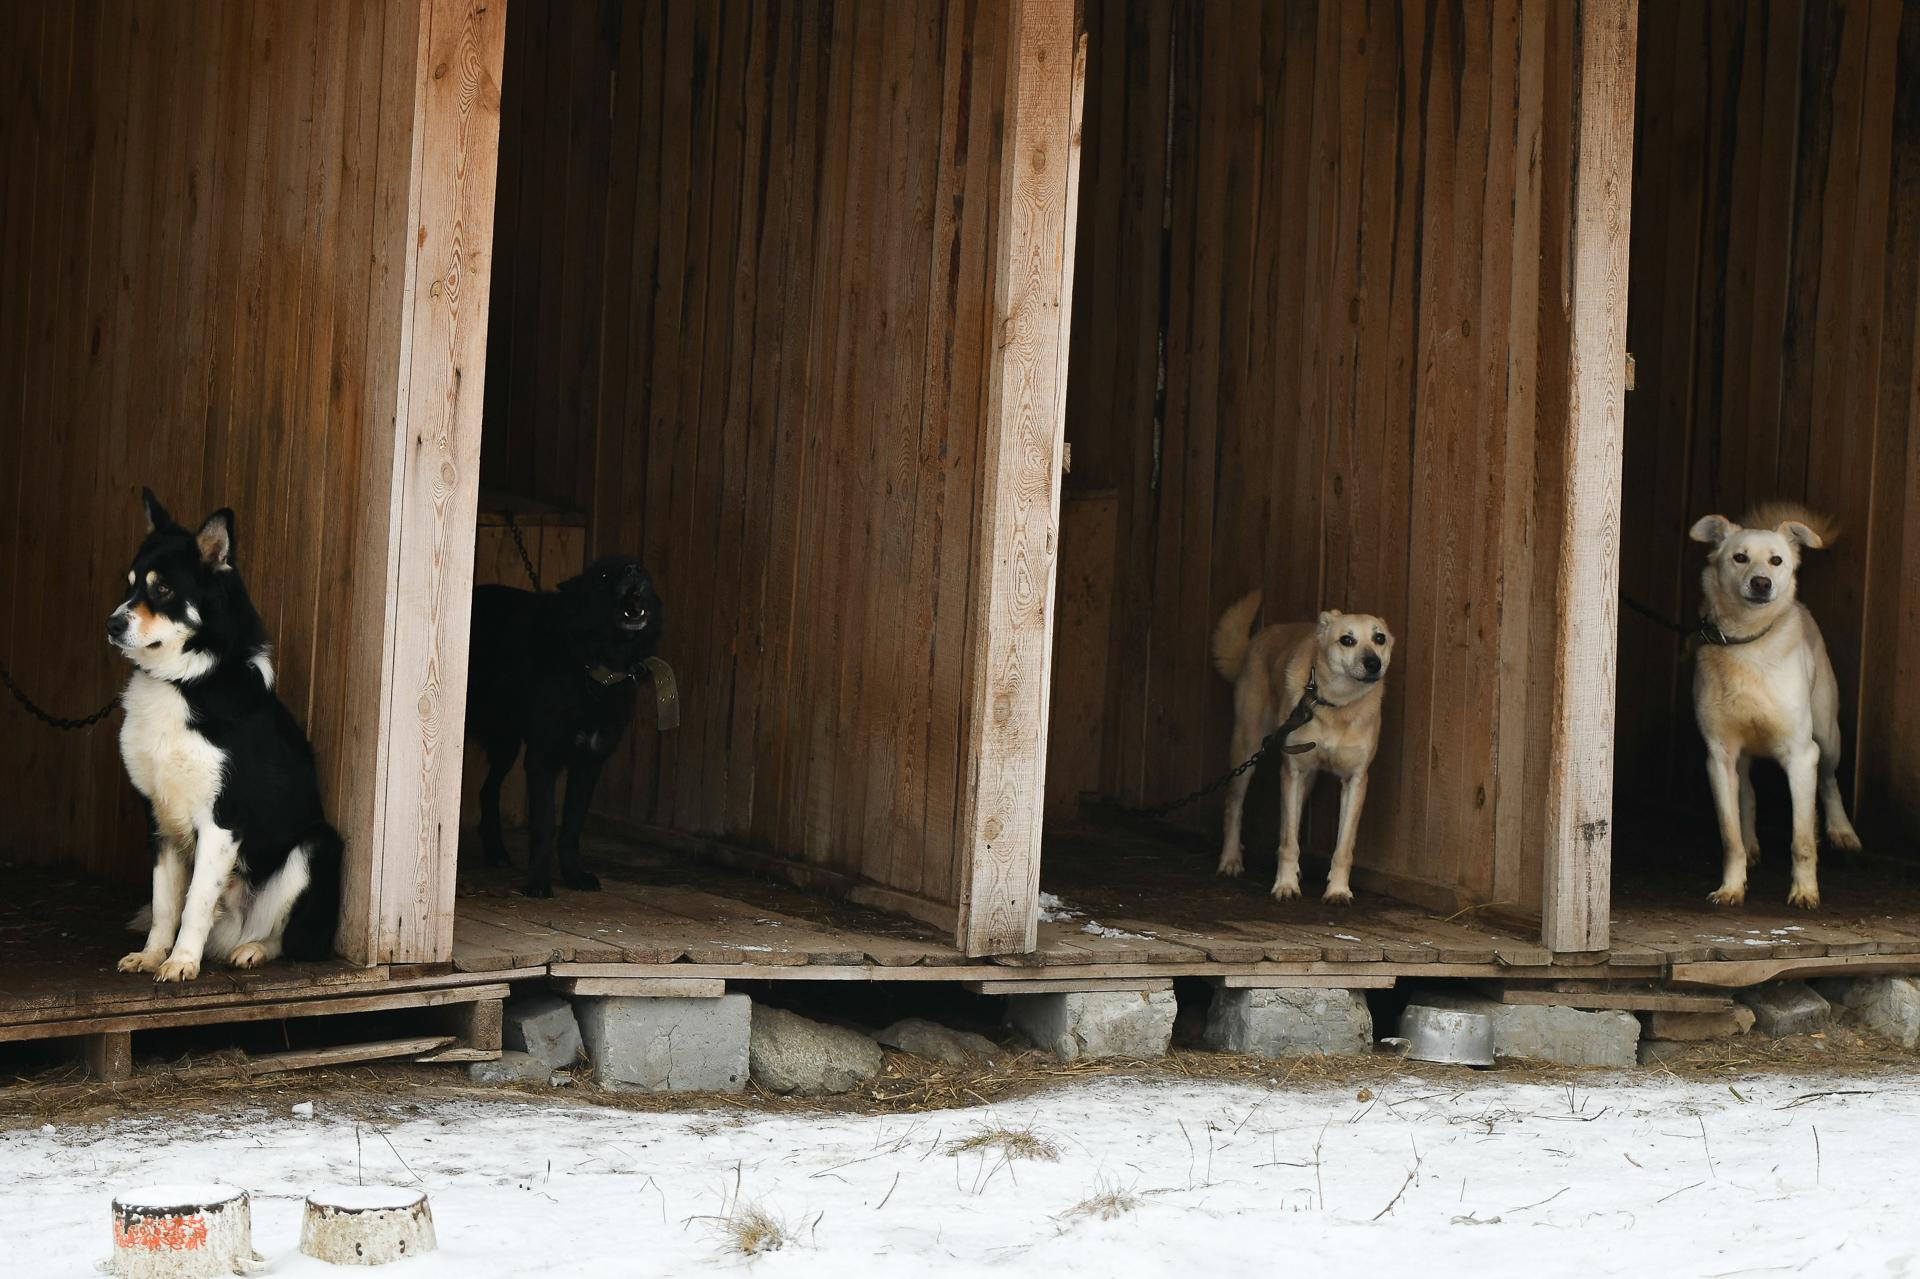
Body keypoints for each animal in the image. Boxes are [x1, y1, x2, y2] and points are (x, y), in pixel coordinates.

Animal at [109, 485, 341, 975]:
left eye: (163, 588)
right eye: (131, 583)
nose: (112, 624)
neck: (184, 681)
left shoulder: (222, 819)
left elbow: (195, 902)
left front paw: (181, 962)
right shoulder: (159, 820)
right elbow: (165, 905)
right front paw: (153, 955)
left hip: (315, 846)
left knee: (288, 938)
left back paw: (252, 949)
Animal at [460, 553, 664, 891]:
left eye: (643, 569)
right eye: (603, 575)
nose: (634, 571)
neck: (596, 666)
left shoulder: (589, 763)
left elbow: (571, 827)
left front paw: (573, 875)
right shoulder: (543, 759)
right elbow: (544, 826)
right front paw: (538, 884)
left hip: (507, 743)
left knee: (487, 791)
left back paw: (496, 851)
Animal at [1205, 591, 1390, 902]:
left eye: (1380, 638)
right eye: (1347, 640)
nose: (1373, 663)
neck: (1334, 704)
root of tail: (1259, 637)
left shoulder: (1355, 780)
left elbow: (1343, 847)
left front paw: (1338, 890)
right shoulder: (1291, 771)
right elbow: (1288, 840)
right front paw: (1286, 885)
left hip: (1307, 777)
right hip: (1247, 749)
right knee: (1234, 805)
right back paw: (1230, 860)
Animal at [1697, 499, 1858, 906]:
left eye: (1776, 561)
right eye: (1739, 557)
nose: (1761, 583)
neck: (1748, 643)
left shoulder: (1801, 755)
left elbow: (1801, 840)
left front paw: (1805, 891)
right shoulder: (1719, 757)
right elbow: (1730, 836)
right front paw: (1731, 887)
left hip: (1827, 736)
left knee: (1829, 782)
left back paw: (1842, 831)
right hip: (1741, 758)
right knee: (1747, 793)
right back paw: (1753, 843)